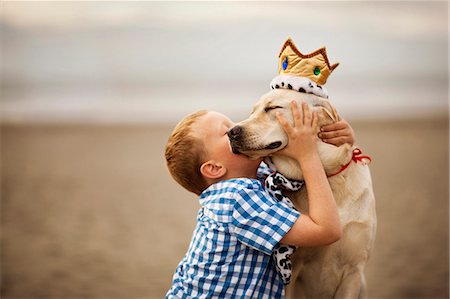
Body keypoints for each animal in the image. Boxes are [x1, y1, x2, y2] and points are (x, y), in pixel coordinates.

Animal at [229, 88, 376, 298]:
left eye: (272, 107)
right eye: (252, 112)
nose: (231, 132)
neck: (327, 180)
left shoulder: (353, 270)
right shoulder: (293, 268)